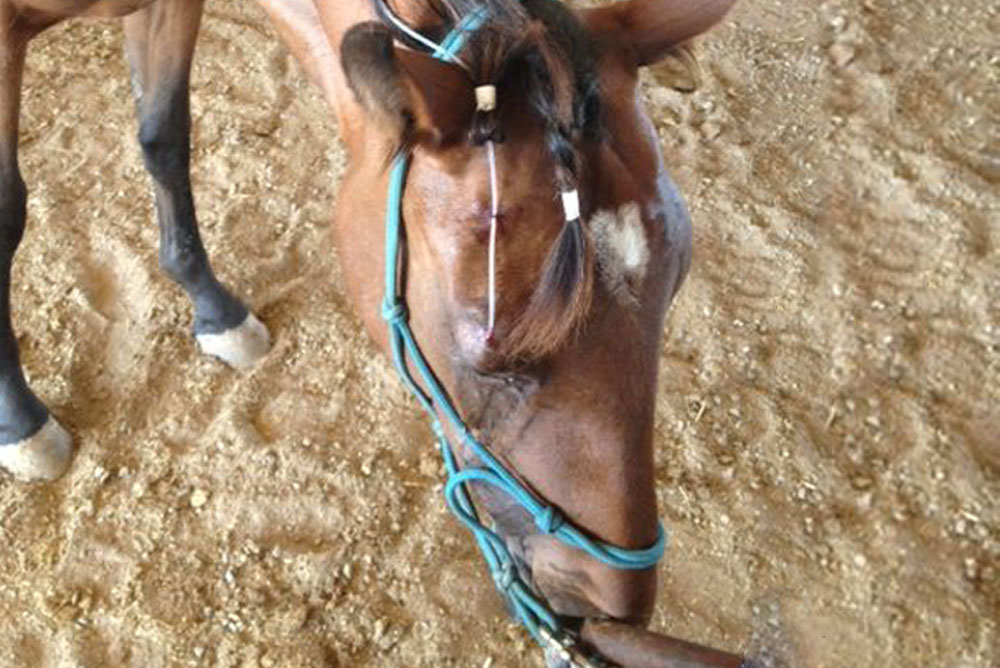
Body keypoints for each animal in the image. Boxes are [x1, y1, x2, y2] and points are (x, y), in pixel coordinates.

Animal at [0, 1, 746, 665]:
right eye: (490, 350)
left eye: (675, 281)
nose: (607, 603)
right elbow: (11, 209)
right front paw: (23, 421)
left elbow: (163, 136)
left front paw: (212, 307)